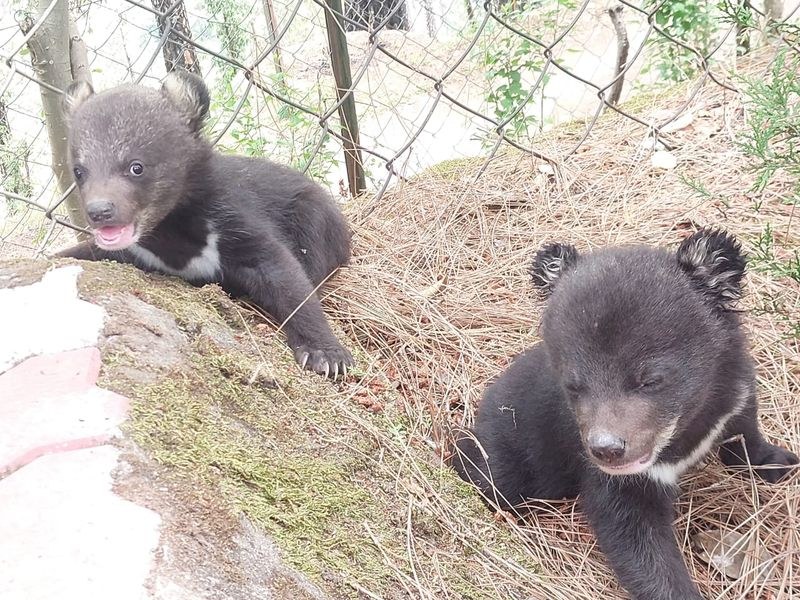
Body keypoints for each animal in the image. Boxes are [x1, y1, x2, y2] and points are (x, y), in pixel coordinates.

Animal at [57, 70, 353, 378]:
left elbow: (284, 273)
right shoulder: (132, 250)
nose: (99, 211)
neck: (171, 232)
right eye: (79, 172)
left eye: (136, 167)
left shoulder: (233, 218)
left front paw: (326, 355)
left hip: (314, 214)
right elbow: (84, 252)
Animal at [453, 228, 798, 600]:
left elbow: (745, 427)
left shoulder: (734, 386)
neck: (685, 429)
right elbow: (634, 539)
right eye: (573, 385)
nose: (606, 450)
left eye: (650, 380)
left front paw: (779, 462)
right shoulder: (621, 480)